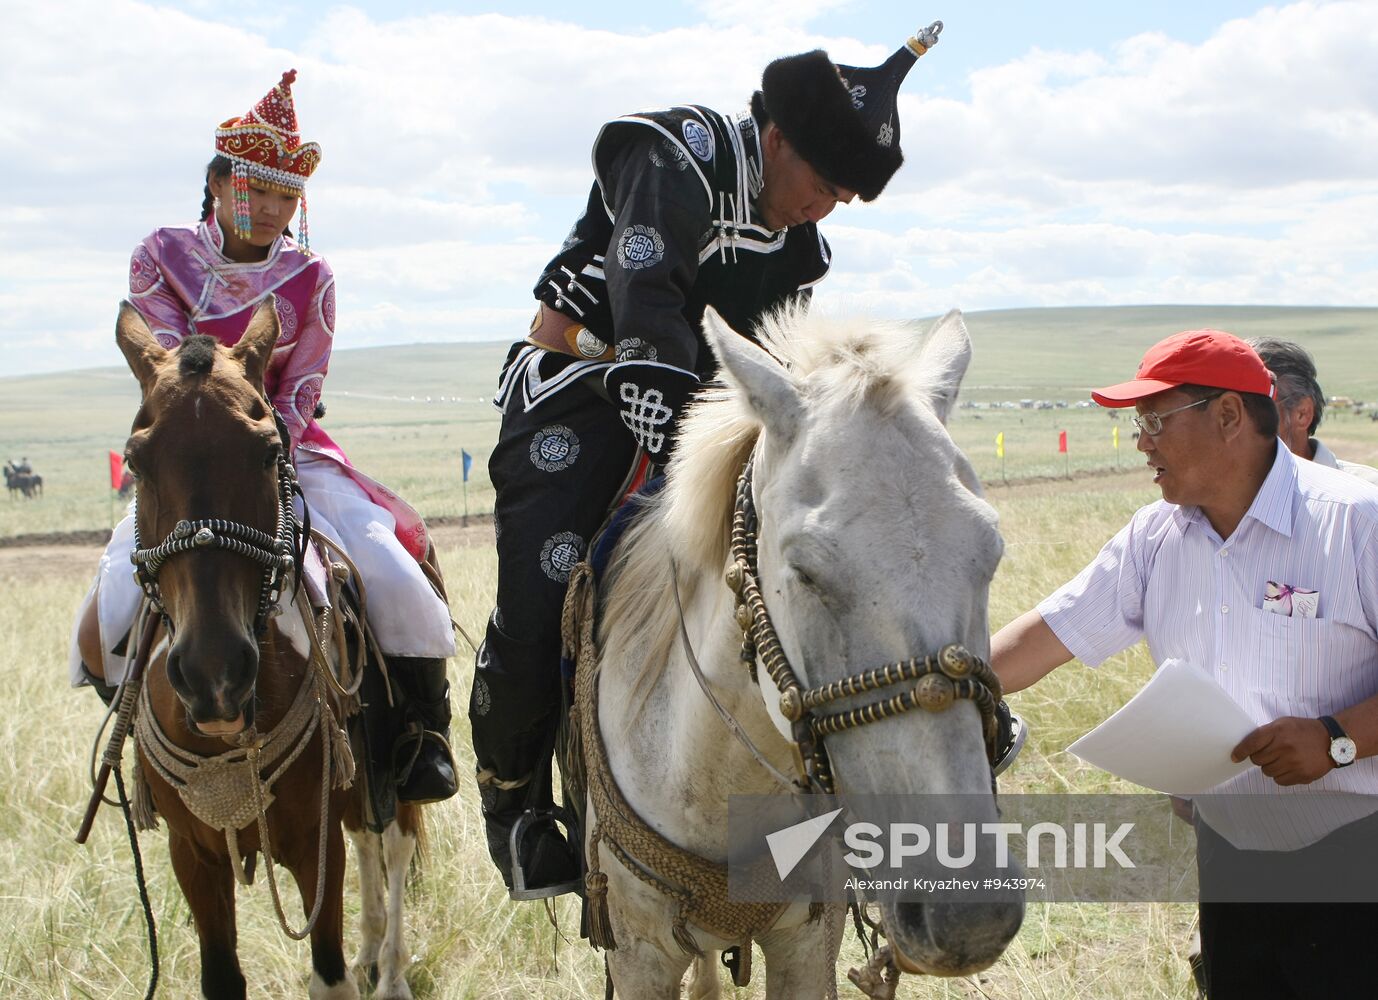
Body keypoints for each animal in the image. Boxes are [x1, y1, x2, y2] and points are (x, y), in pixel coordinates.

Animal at [106, 301, 421, 997]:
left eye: (269, 451)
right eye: (136, 460)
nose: (214, 674)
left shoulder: (313, 839)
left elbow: (328, 972)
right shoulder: (192, 852)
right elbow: (222, 977)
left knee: (391, 843)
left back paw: (389, 972)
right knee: (369, 840)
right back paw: (370, 952)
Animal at [587, 307, 1030, 1000]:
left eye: (991, 553)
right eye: (805, 571)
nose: (970, 916)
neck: (715, 784)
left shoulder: (807, 938)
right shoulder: (638, 956)